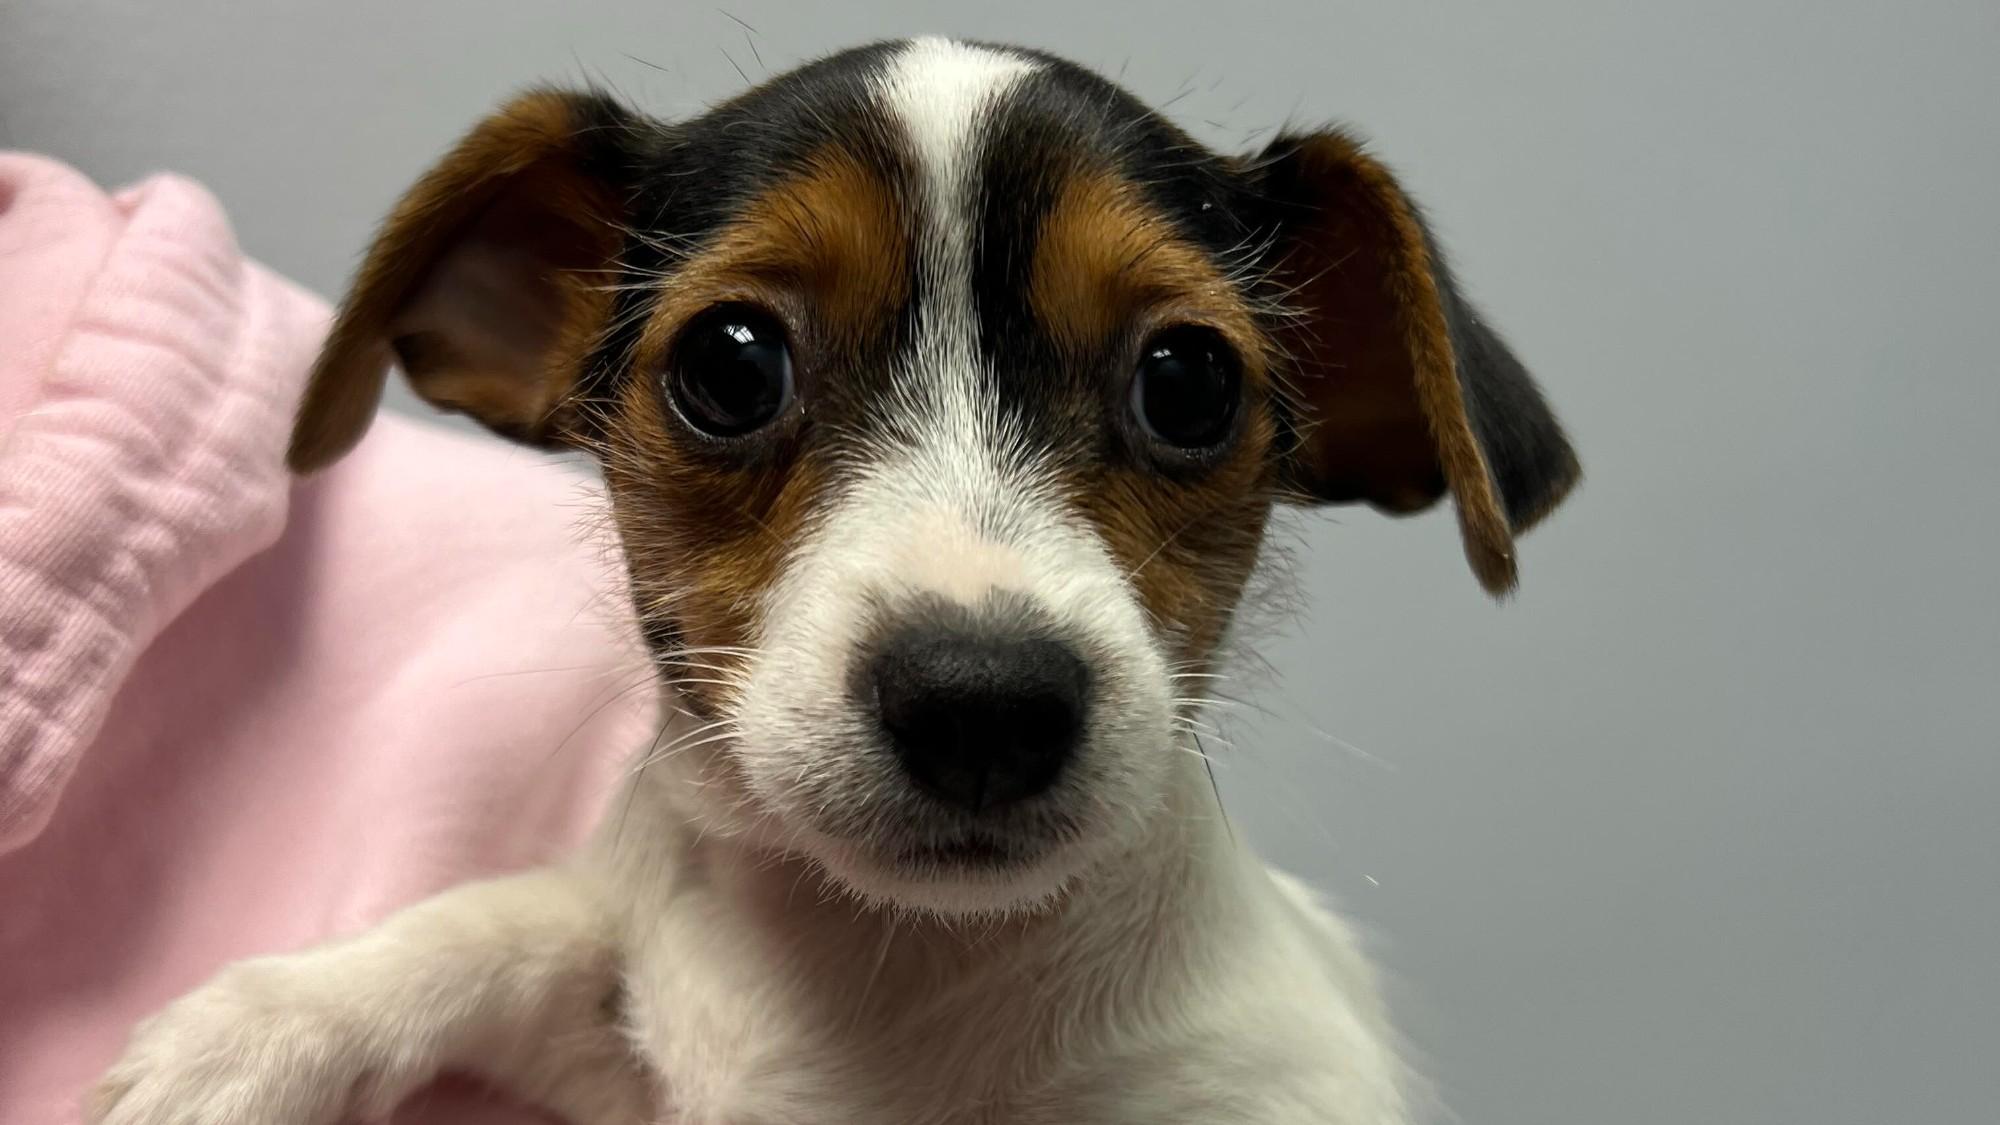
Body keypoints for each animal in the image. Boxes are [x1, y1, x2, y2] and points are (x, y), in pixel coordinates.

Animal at [88, 37, 1577, 1125]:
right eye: (731, 362)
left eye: (1191, 382)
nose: (982, 704)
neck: (901, 973)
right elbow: (520, 924)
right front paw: (256, 1029)